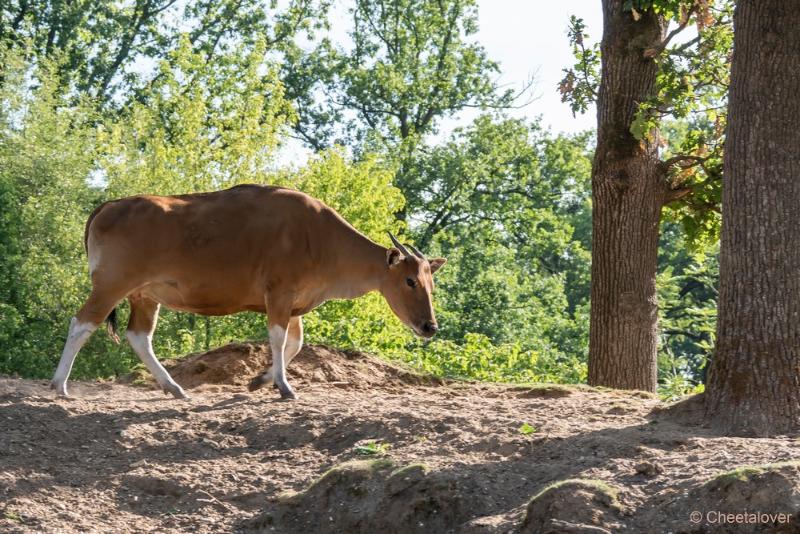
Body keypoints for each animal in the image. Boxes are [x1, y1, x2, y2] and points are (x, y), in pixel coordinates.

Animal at [50, 186, 446, 400]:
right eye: (410, 281)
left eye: (431, 283)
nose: (430, 327)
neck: (320, 238)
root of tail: (107, 206)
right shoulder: (279, 295)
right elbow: (278, 339)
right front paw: (283, 386)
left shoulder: (293, 304)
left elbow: (294, 344)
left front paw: (261, 380)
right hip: (112, 284)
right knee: (82, 323)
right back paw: (60, 385)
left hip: (144, 295)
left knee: (138, 336)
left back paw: (173, 386)